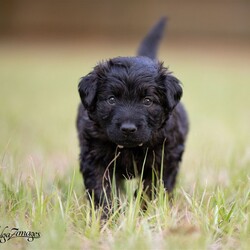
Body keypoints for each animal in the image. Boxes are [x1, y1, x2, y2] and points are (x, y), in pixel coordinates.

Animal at [77, 16, 188, 210]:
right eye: (112, 99)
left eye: (148, 101)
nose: (128, 128)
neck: (130, 148)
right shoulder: (94, 157)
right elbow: (101, 188)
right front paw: (107, 214)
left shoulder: (165, 159)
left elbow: (151, 188)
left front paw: (142, 211)